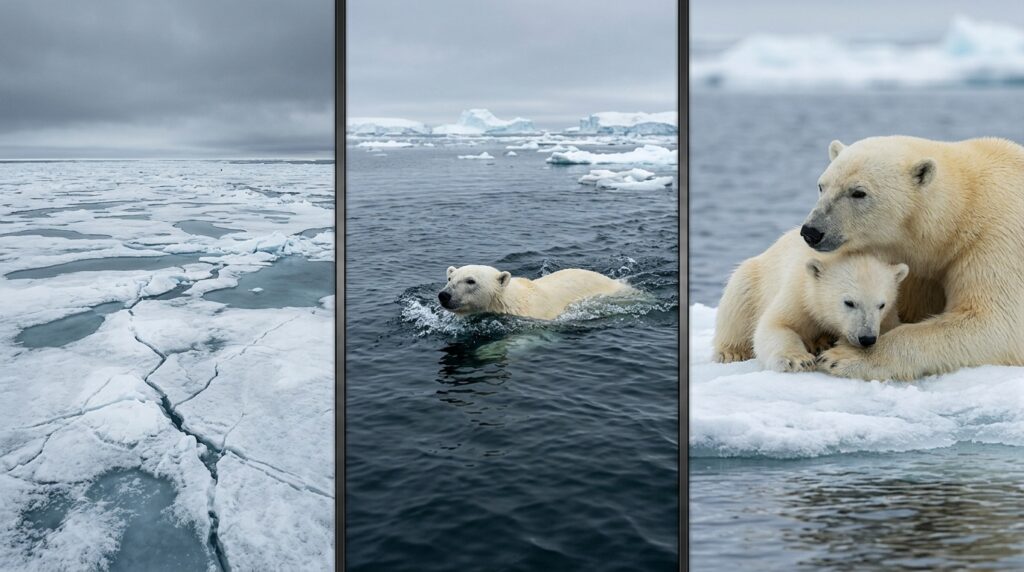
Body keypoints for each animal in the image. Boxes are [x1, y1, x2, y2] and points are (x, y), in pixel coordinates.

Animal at [713, 228, 908, 372]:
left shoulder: (888, 316)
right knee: (739, 300)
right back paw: (731, 352)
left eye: (881, 305)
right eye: (849, 302)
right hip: (754, 278)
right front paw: (797, 360)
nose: (866, 338)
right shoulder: (800, 292)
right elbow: (776, 324)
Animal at [803, 135, 1024, 380]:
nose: (811, 231)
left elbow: (995, 323)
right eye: (822, 186)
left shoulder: (996, 238)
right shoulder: (916, 266)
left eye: (858, 192)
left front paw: (843, 356)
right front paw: (822, 338)